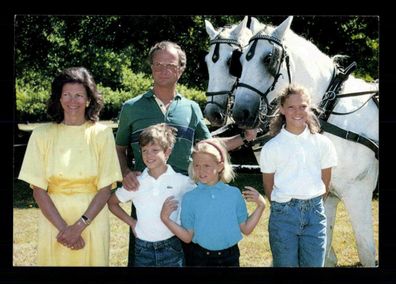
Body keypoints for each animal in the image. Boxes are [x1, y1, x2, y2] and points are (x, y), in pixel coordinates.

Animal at [230, 16, 378, 268]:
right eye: (239, 61)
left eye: (268, 59)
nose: (240, 112)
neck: (331, 109)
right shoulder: (328, 195)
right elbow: (323, 252)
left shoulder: (357, 193)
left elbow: (366, 253)